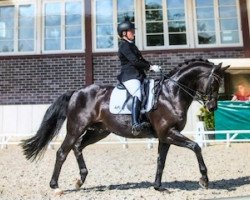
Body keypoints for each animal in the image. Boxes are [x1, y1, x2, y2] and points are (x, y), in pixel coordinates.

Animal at [22, 59, 229, 194]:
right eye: (214, 82)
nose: (212, 107)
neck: (172, 93)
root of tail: (76, 92)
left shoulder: (165, 136)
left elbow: (161, 161)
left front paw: (158, 186)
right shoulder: (169, 133)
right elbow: (196, 147)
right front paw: (204, 180)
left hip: (99, 131)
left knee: (78, 147)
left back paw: (80, 180)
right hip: (76, 128)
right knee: (62, 152)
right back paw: (55, 186)